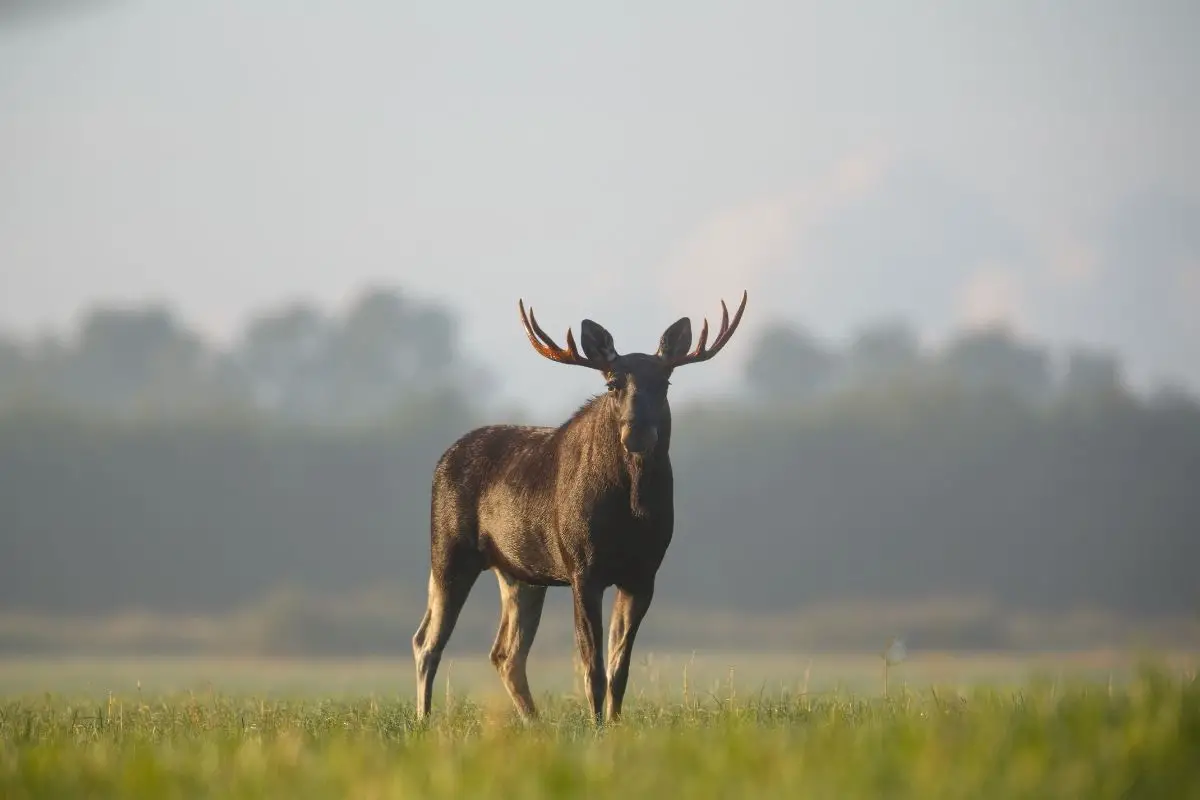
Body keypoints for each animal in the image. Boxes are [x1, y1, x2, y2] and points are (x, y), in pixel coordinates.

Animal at [412, 289, 748, 724]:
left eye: (666, 381)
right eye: (612, 383)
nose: (637, 431)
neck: (632, 511)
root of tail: (442, 460)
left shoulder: (644, 573)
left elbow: (620, 668)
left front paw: (616, 724)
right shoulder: (582, 568)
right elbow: (593, 667)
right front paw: (597, 725)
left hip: (520, 574)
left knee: (505, 653)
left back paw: (533, 721)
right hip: (448, 550)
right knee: (427, 641)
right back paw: (424, 719)